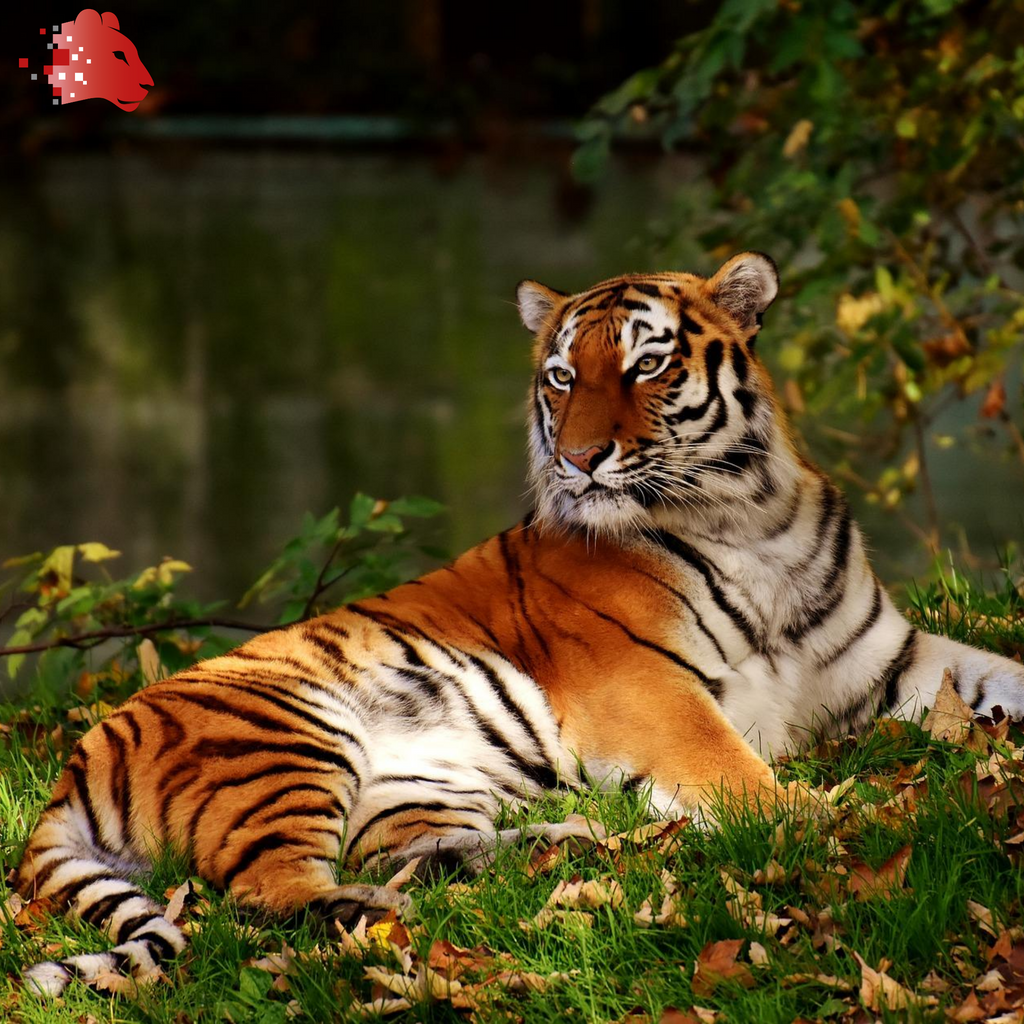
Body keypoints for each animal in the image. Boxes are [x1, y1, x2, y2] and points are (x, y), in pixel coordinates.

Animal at [15, 252, 1024, 998]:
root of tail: (77, 757)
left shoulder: (890, 657)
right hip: (285, 738)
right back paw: (378, 916)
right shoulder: (646, 686)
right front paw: (823, 818)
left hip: (418, 782)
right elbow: (735, 770)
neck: (753, 517)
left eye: (649, 364)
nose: (579, 460)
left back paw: (566, 842)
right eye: (563, 377)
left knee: (410, 855)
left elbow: (1001, 672)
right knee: (267, 896)